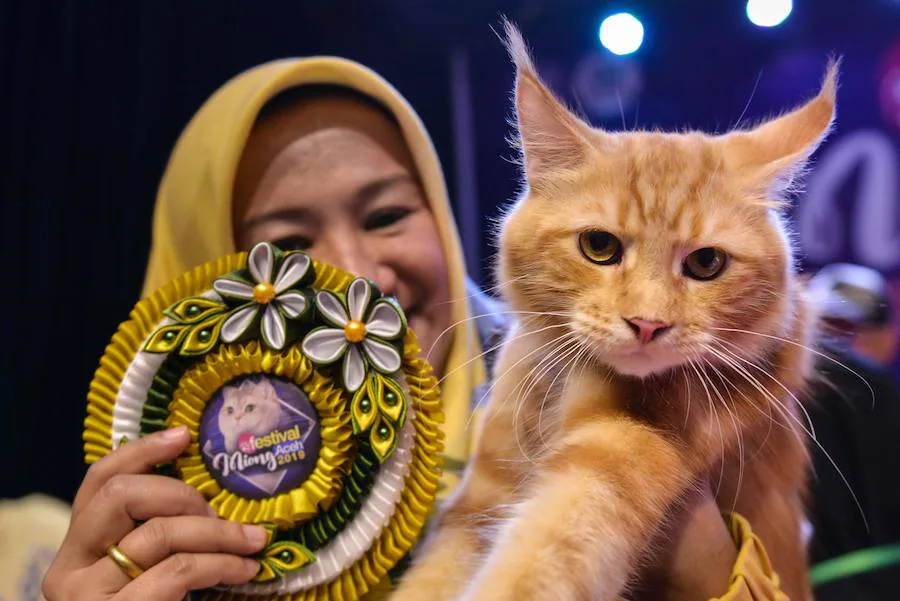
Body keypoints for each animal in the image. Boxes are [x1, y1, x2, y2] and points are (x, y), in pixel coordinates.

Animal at [394, 23, 836, 600]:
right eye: (599, 246)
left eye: (706, 263)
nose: (648, 324)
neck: (554, 390)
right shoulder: (476, 504)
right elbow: (432, 576)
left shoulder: (618, 449)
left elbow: (544, 557)